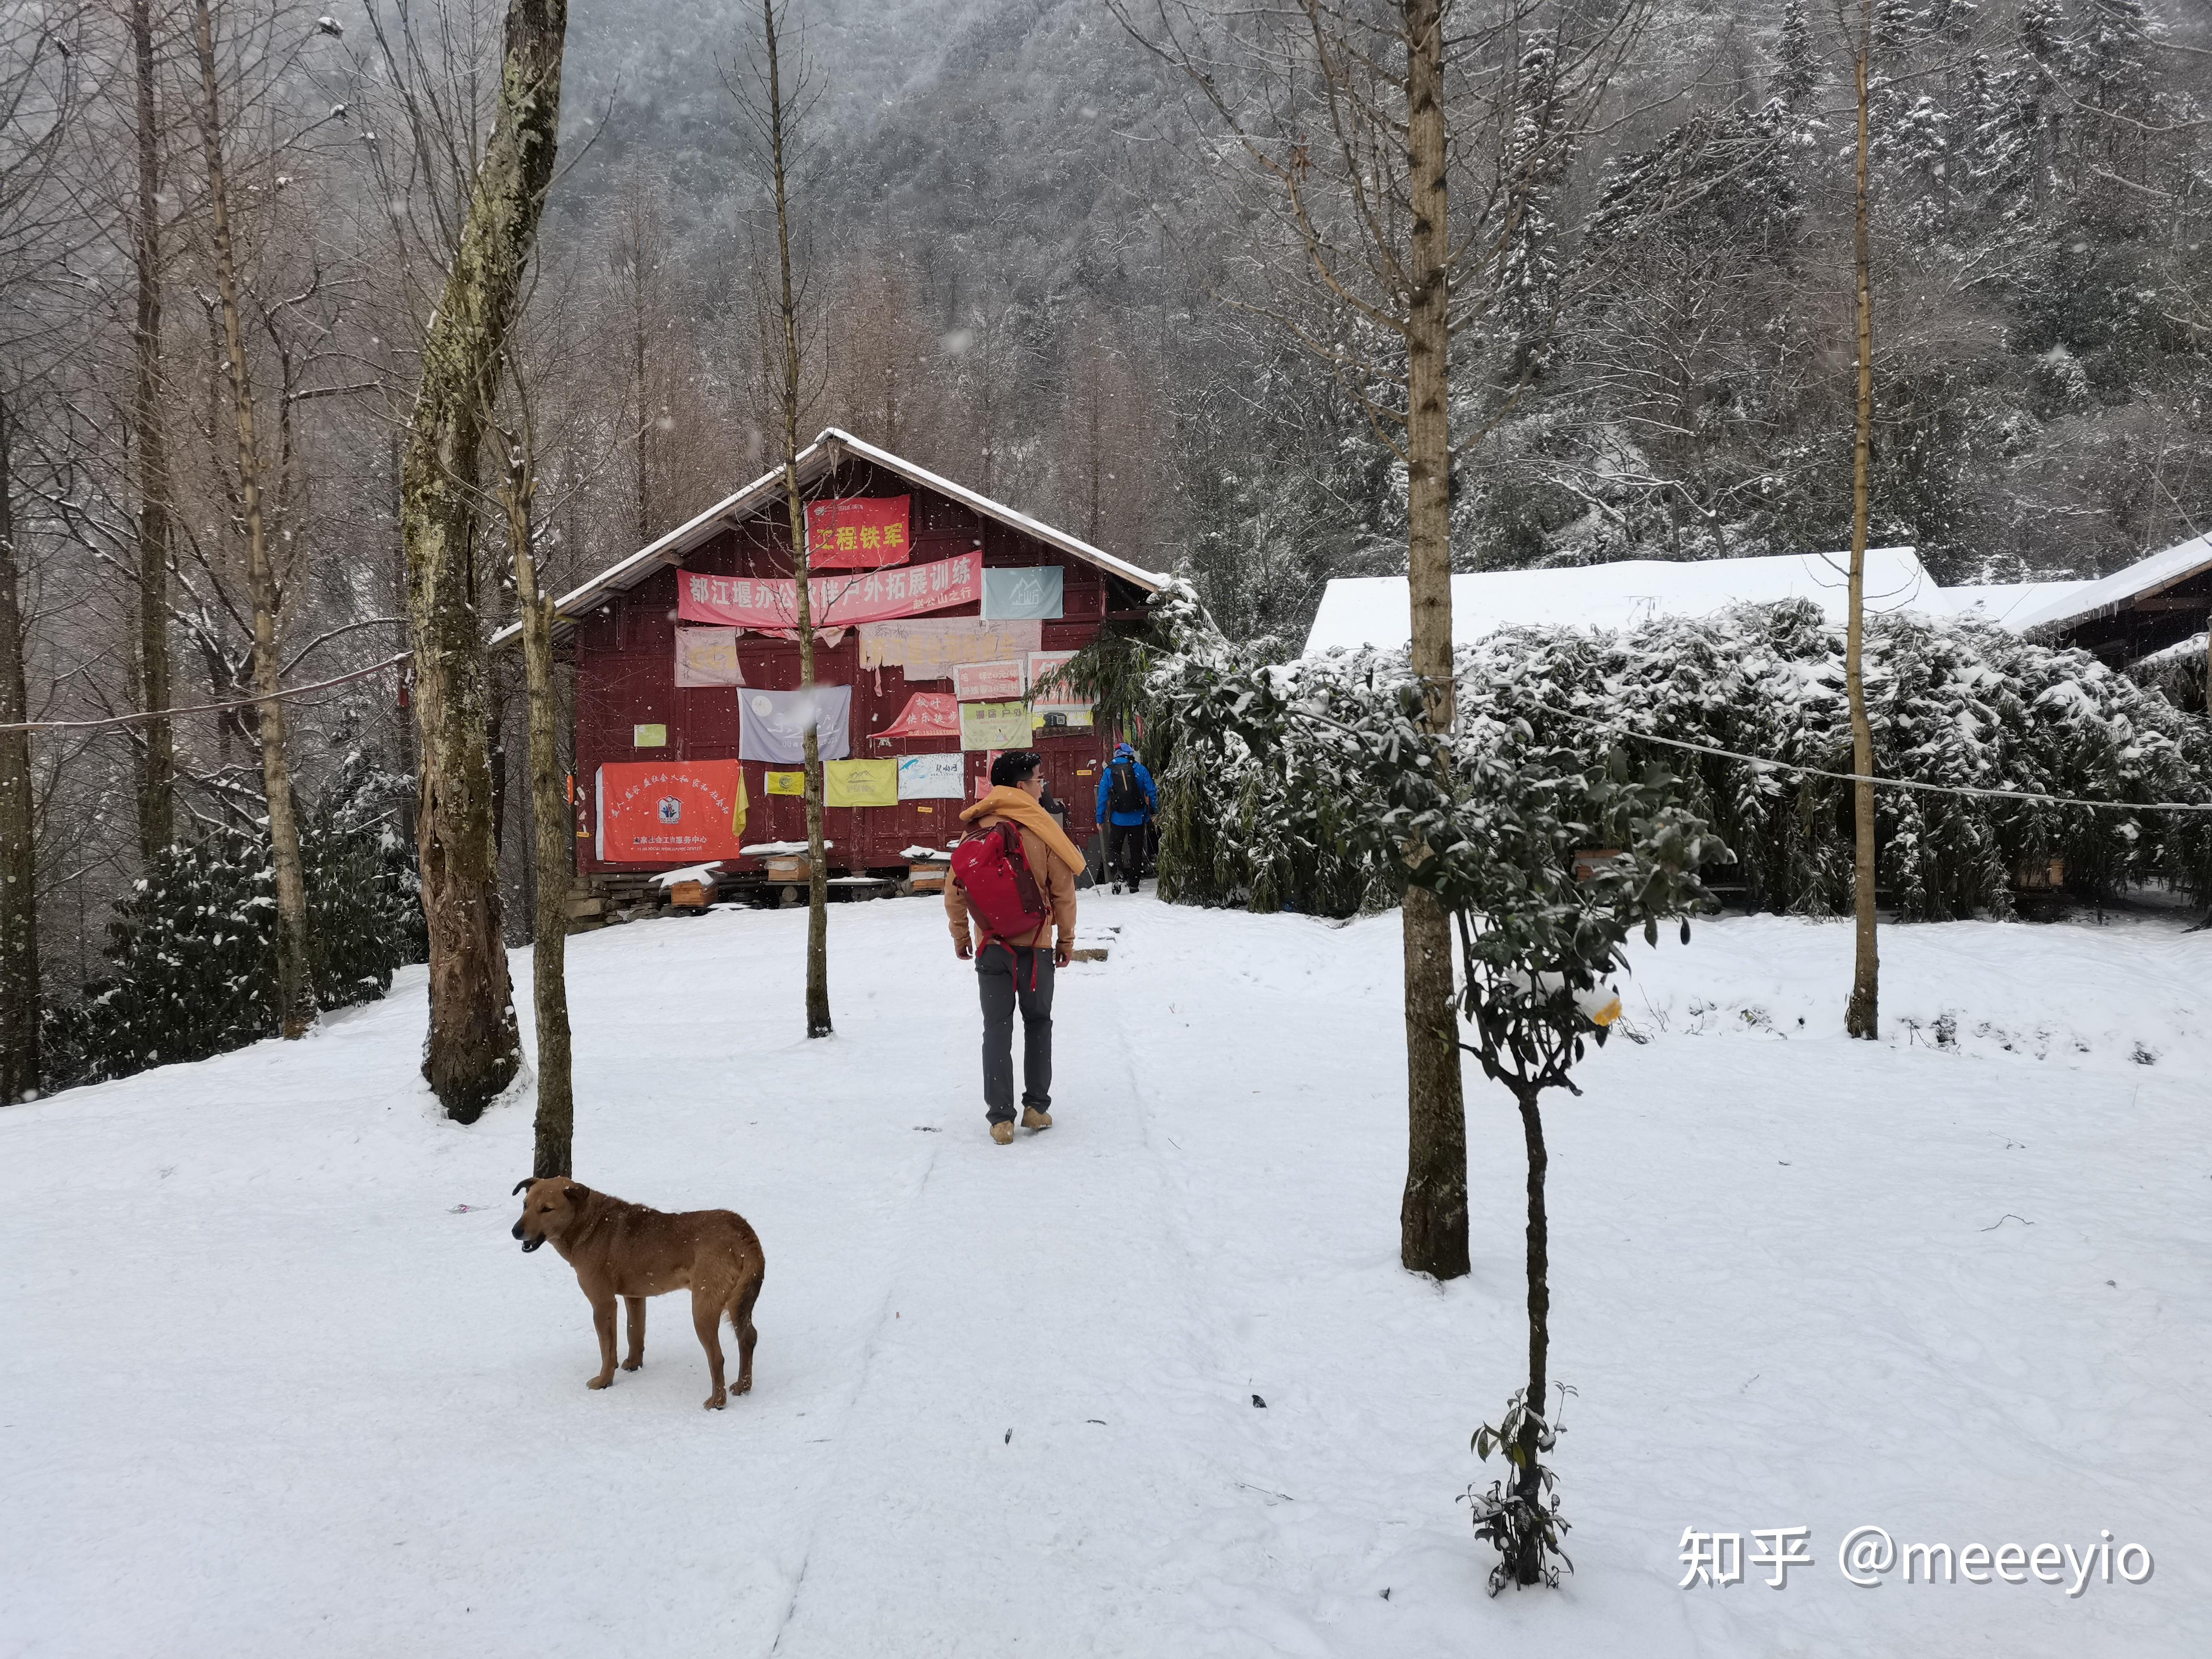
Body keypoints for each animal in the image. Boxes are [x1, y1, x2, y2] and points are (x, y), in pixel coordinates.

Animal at [511, 1177, 769, 1407]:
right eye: (525, 1205)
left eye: (547, 1209)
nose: (515, 1231)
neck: (588, 1223)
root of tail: (745, 1234)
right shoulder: (634, 1296)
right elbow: (634, 1333)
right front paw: (633, 1364)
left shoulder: (603, 1303)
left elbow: (608, 1349)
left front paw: (604, 1381)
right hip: (739, 1302)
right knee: (748, 1338)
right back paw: (743, 1387)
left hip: (703, 1307)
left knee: (717, 1357)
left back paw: (717, 1402)